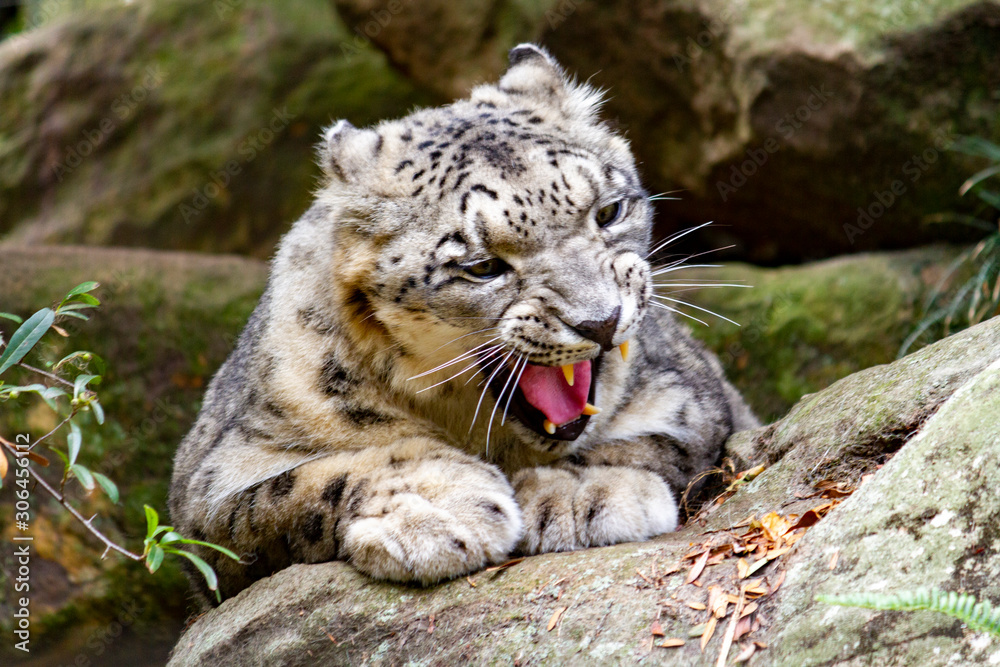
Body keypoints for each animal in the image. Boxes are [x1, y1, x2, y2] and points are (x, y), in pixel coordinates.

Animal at [168, 44, 758, 606]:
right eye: (481, 267)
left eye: (609, 212)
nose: (601, 320)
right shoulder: (216, 477)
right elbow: (305, 483)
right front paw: (437, 510)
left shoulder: (690, 389)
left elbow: (667, 437)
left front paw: (578, 493)